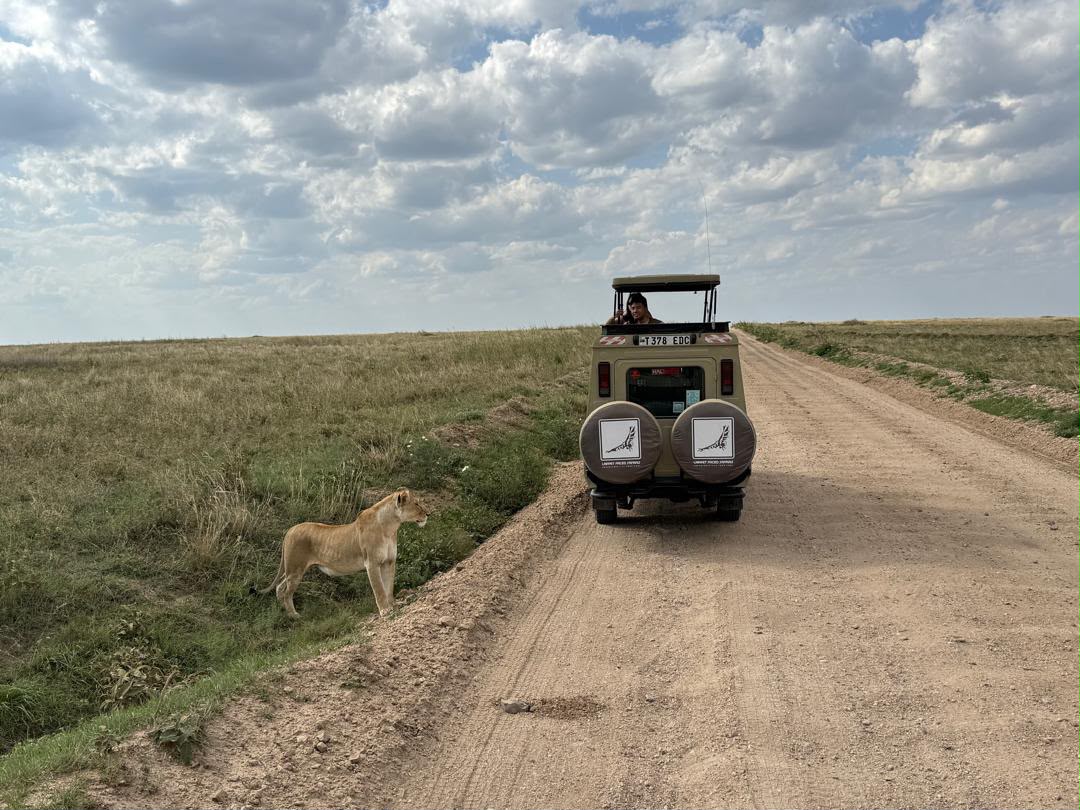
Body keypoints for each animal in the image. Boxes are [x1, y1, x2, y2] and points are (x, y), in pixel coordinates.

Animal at [256, 488, 429, 618]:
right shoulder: (372, 563)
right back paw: (294, 615)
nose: (428, 514)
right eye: (417, 503)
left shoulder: (389, 562)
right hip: (295, 569)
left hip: (293, 569)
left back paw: (283, 611)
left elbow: (389, 587)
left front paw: (393, 605)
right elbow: (379, 589)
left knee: (280, 586)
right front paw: (385, 611)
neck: (390, 527)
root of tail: (290, 530)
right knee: (286, 591)